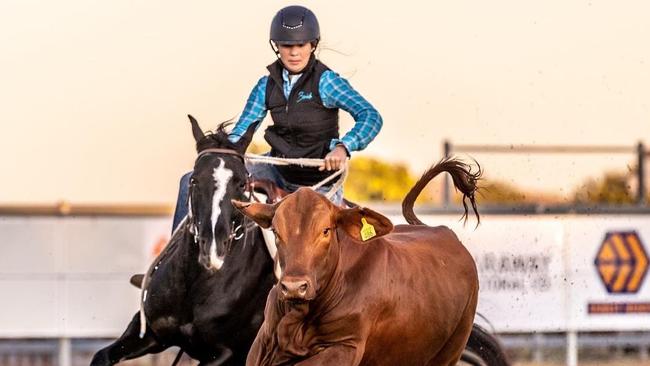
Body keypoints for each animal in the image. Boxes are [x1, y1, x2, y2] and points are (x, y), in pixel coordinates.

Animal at [233, 158, 480, 366]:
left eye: (325, 230)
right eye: (276, 231)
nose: (294, 287)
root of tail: (441, 230)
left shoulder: (345, 347)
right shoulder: (263, 342)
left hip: (451, 350)